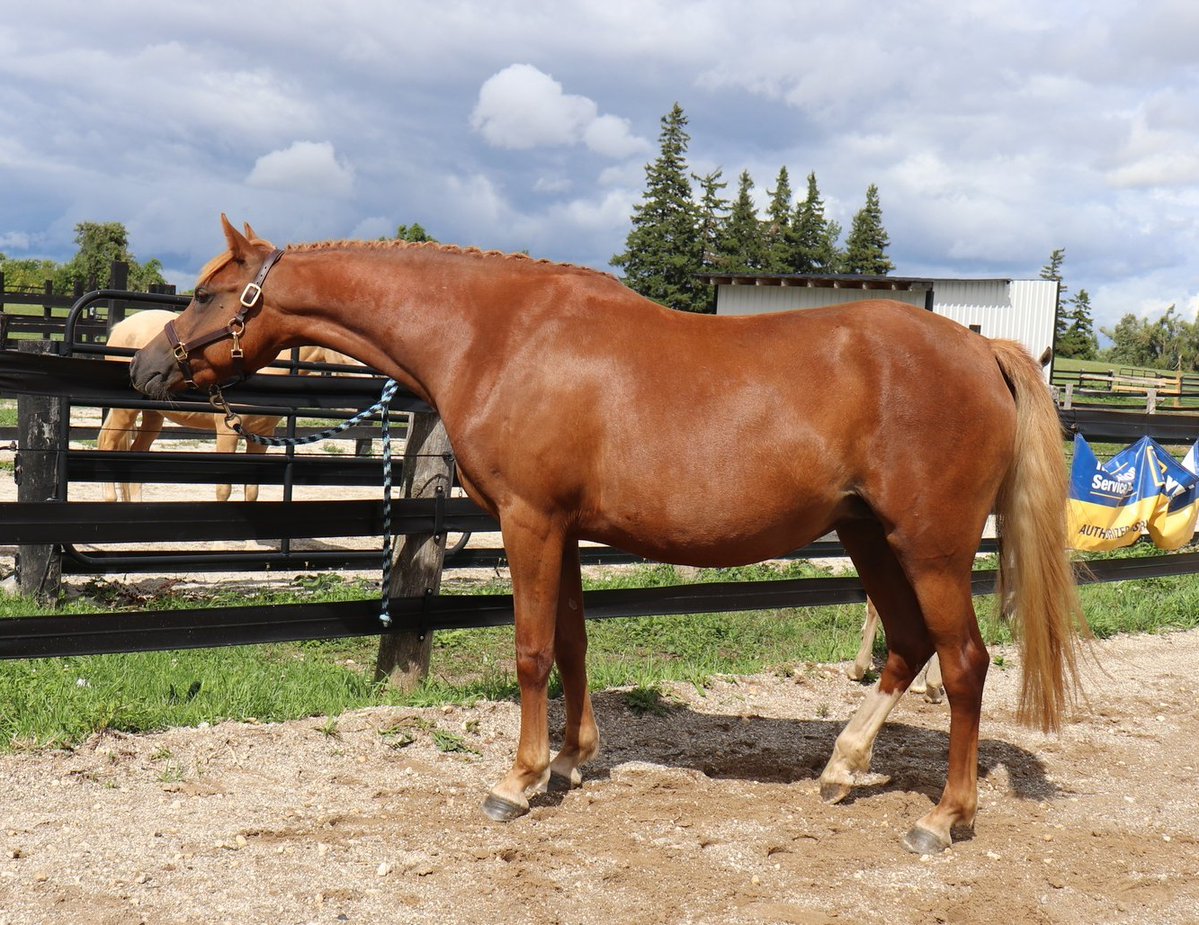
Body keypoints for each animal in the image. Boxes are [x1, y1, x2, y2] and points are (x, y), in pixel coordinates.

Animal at [101, 308, 356, 502]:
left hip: (154, 416)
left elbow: (252, 490)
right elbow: (223, 489)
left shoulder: (262, 435)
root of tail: (121, 326)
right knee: (106, 444)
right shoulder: (228, 431)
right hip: (125, 411)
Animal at [130, 215, 1087, 854]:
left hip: (927, 547)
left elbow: (528, 651)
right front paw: (569, 760)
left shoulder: (529, 519)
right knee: (908, 645)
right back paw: (843, 767)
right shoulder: (564, 528)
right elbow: (572, 643)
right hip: (868, 538)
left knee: (962, 663)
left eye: (209, 293)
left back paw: (943, 817)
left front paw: (514, 782)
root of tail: (981, 350)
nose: (145, 366)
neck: (500, 337)